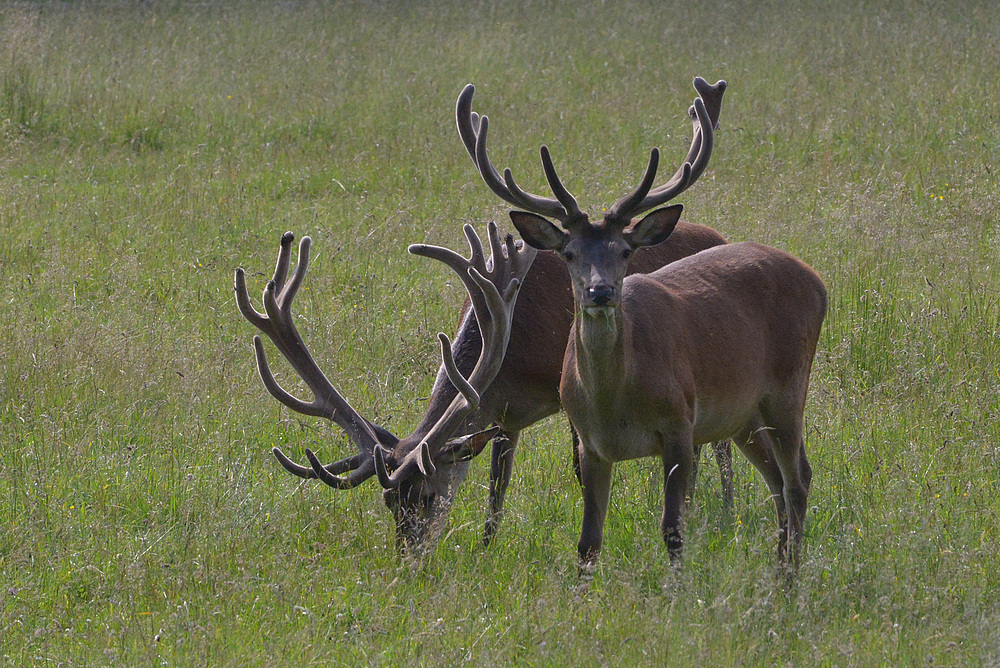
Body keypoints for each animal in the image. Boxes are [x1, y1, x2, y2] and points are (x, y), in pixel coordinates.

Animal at [468, 78, 828, 568]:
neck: (613, 404)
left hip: (789, 386)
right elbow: (587, 541)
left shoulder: (679, 425)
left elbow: (673, 529)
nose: (600, 292)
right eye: (569, 253)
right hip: (743, 413)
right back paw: (778, 566)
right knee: (776, 479)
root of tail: (817, 280)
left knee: (799, 477)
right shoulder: (590, 445)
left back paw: (791, 573)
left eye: (624, 251)